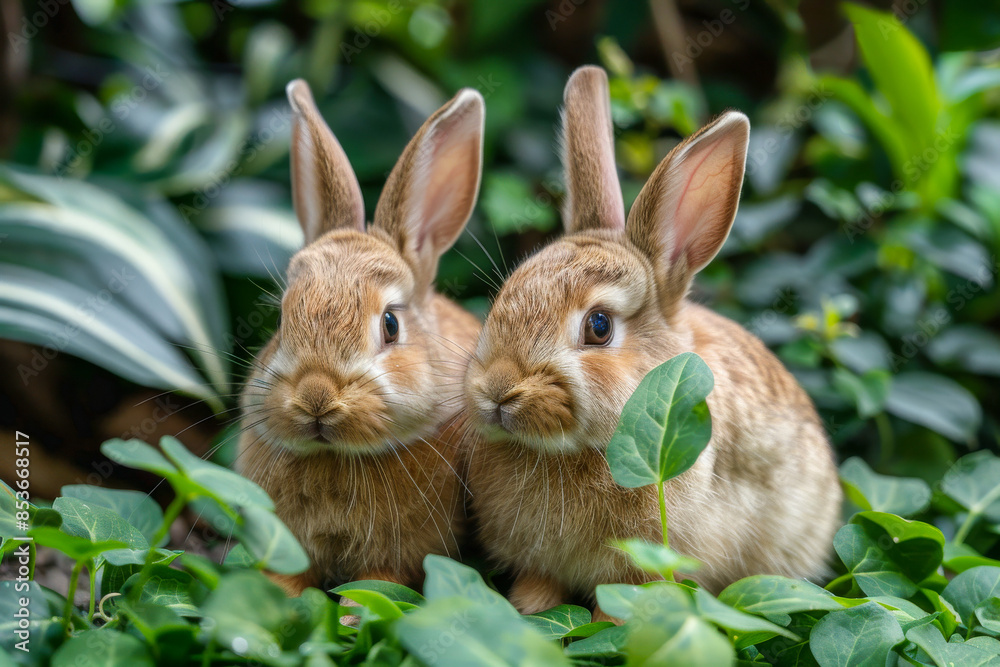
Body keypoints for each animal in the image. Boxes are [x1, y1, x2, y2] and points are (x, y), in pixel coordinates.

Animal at [238, 79, 484, 596]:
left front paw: (354, 609)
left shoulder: (405, 550)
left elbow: (381, 582)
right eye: (283, 318)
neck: (336, 456)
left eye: (390, 324)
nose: (316, 395)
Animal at [462, 66, 841, 621]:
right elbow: (539, 586)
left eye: (599, 326)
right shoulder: (540, 561)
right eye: (504, 298)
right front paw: (528, 611)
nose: (497, 389)